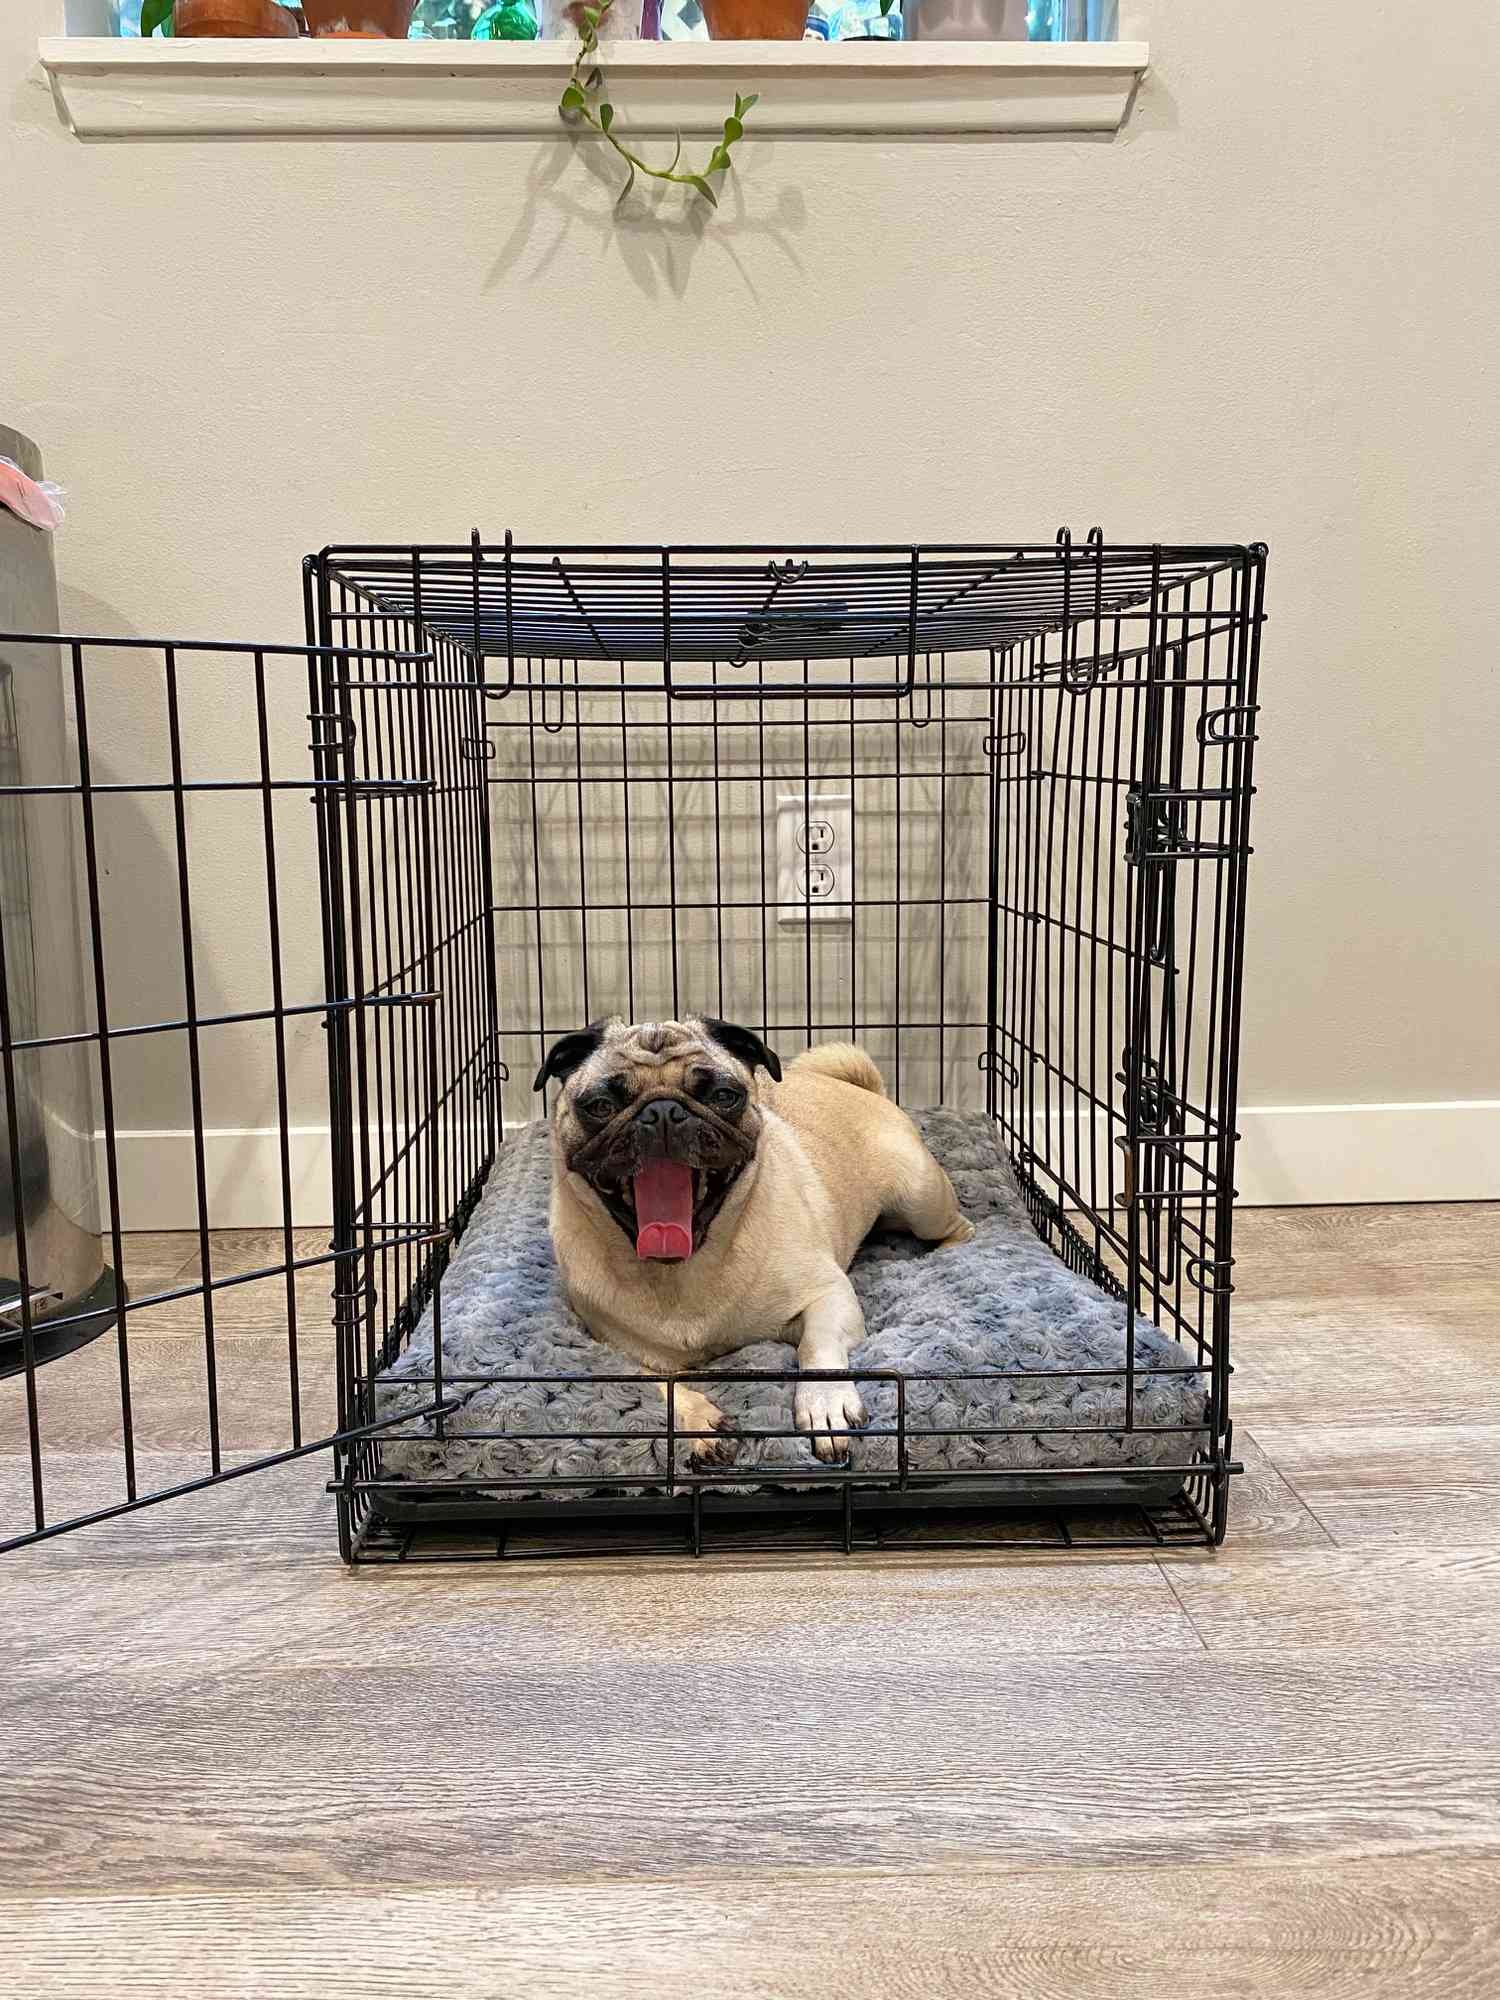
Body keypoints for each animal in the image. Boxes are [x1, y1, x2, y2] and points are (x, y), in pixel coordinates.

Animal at [536, 1024, 976, 1464]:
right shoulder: (618, 1349)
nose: (662, 1111)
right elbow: (657, 1385)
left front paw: (824, 1402)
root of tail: (864, 1089)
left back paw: (948, 1252)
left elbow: (817, 1346)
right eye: (600, 1105)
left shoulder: (829, 1294)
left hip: (920, 1198)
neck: (681, 1271)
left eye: (723, 1096)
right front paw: (699, 1422)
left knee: (960, 1226)